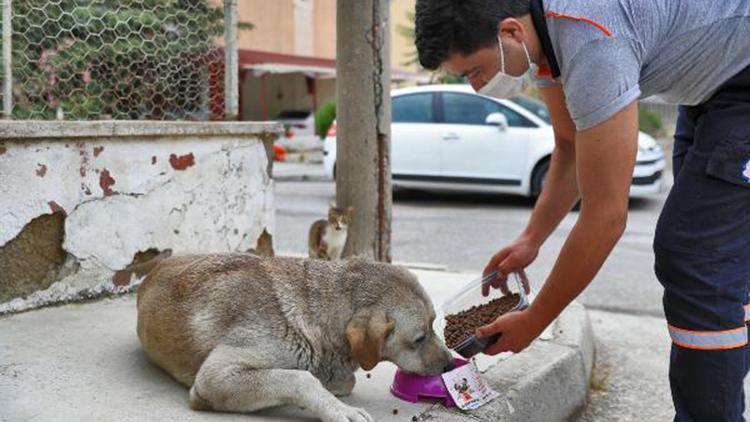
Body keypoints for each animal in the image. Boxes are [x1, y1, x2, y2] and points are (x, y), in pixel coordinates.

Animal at [136, 254, 456, 422]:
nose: (450, 365)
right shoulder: (215, 378)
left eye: (434, 324)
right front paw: (337, 407)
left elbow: (343, 380)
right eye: (419, 338)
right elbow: (301, 379)